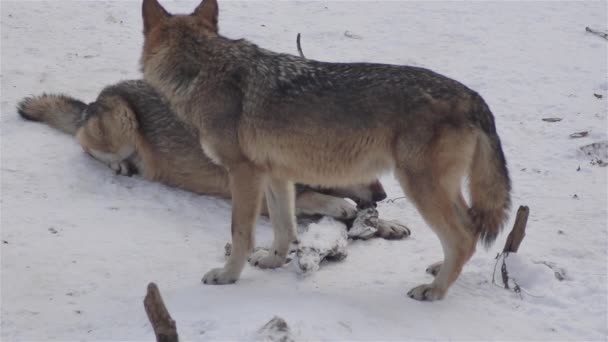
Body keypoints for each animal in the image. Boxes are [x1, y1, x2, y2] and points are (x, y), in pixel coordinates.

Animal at [17, 80, 408, 238]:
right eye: (360, 170)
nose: (384, 195)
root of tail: (95, 100)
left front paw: (388, 224)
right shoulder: (263, 198)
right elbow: (318, 198)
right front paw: (341, 205)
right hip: (123, 125)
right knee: (83, 142)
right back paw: (119, 165)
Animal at [138, 0, 508, 300]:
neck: (201, 70)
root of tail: (473, 97)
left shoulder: (243, 173)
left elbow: (241, 233)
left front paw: (228, 276)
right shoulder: (275, 175)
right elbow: (285, 229)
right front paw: (272, 261)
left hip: (419, 187)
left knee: (461, 237)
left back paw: (435, 290)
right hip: (441, 189)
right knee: (470, 230)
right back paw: (438, 271)